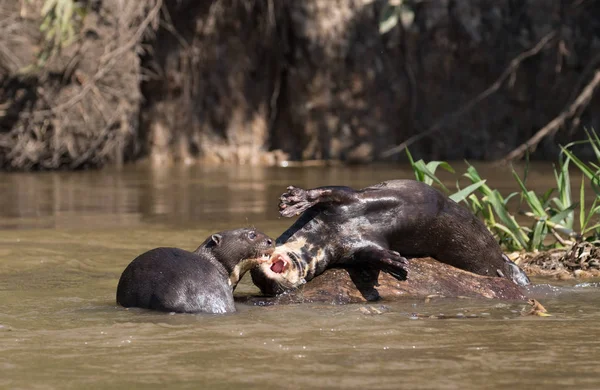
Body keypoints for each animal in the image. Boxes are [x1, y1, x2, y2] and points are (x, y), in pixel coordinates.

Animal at [252, 180, 528, 296]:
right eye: (261, 286)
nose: (266, 281)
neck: (325, 235)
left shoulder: (349, 198)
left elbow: (328, 190)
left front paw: (295, 199)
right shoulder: (351, 250)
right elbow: (369, 253)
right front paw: (393, 261)